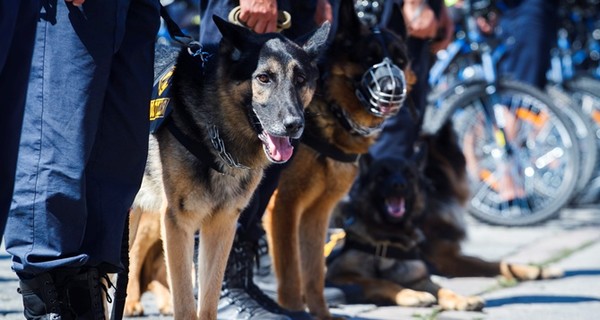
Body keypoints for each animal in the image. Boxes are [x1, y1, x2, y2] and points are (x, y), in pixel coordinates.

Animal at [128, 18, 330, 320]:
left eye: (300, 80)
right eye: (264, 78)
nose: (294, 125)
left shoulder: (221, 226)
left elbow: (209, 302)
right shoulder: (178, 225)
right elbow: (185, 305)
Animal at [264, 1, 414, 318]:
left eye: (400, 60)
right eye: (369, 59)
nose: (393, 90)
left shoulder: (316, 214)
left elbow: (314, 274)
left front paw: (321, 314)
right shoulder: (282, 208)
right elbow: (291, 272)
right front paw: (294, 310)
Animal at [324, 122, 564, 310]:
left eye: (409, 175)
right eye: (381, 175)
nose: (399, 185)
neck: (388, 239)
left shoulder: (427, 273)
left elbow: (487, 266)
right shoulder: (341, 276)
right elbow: (383, 283)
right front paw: (412, 296)